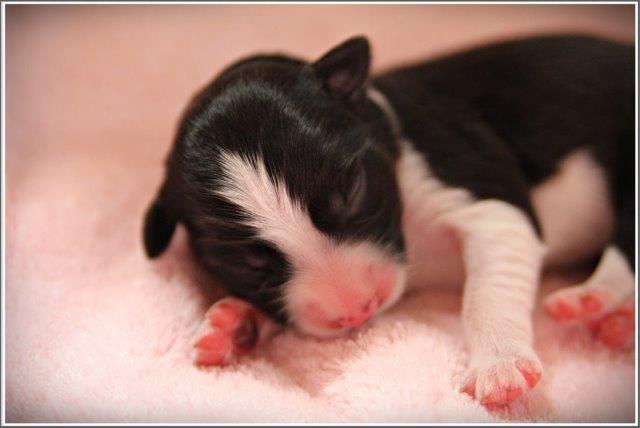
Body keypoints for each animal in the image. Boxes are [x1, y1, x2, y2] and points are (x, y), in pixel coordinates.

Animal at [143, 34, 635, 408]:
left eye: (353, 192)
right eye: (252, 262)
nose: (360, 309)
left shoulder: (476, 187)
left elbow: (487, 289)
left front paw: (499, 365)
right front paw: (235, 325)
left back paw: (594, 300)